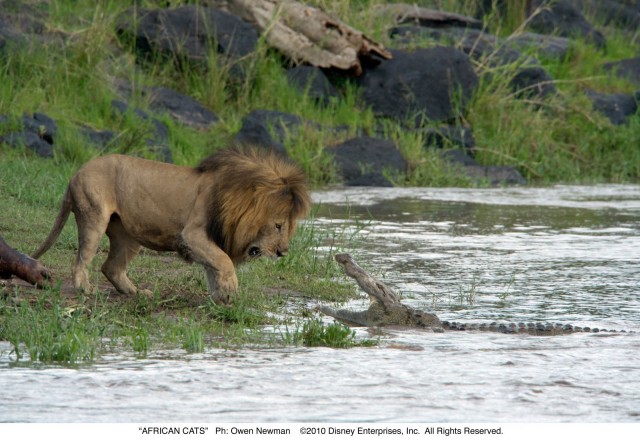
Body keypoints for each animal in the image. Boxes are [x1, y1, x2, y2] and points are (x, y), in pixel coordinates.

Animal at [33, 147, 312, 302]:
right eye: (278, 226)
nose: (282, 252)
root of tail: (75, 174)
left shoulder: (206, 241)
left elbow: (213, 268)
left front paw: (221, 297)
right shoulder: (192, 235)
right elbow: (224, 261)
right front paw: (231, 290)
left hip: (127, 236)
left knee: (110, 267)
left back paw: (136, 293)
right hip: (93, 215)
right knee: (81, 260)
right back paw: (85, 290)